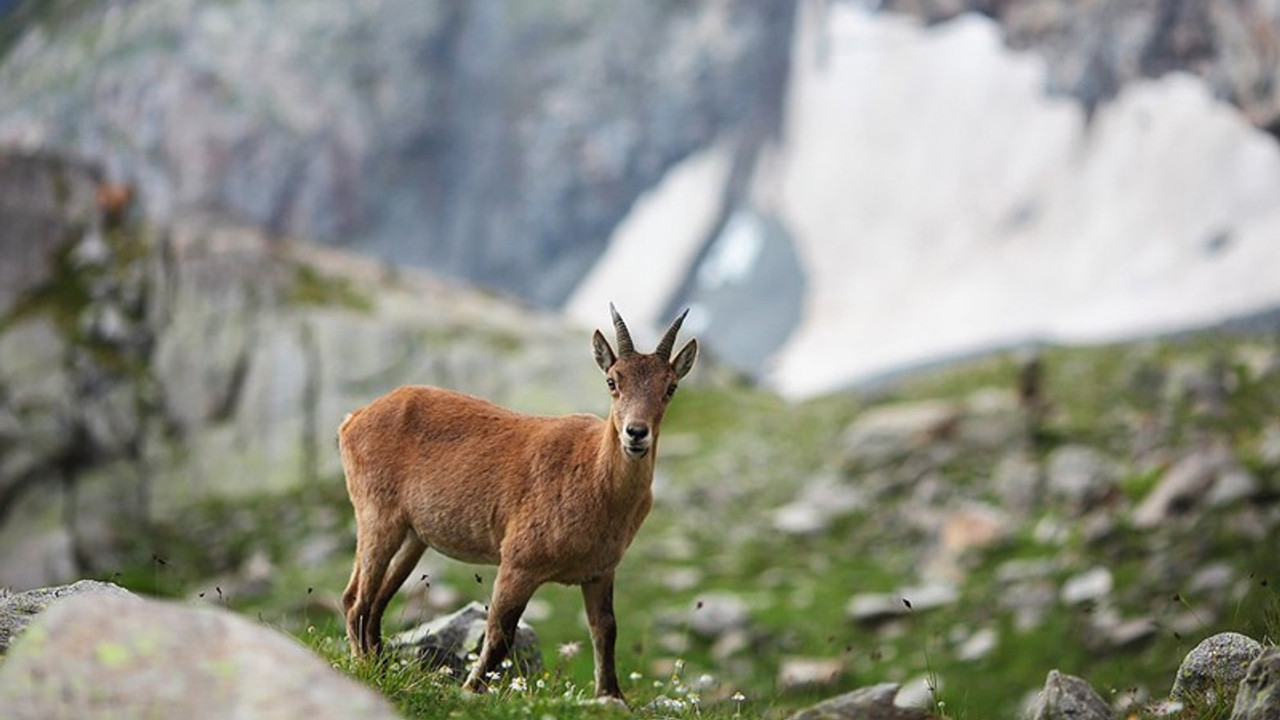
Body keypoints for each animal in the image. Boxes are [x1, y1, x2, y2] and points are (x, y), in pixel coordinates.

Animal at [340, 304, 696, 696]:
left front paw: (611, 696)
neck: (595, 480)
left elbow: (605, 631)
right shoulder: (518, 562)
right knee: (355, 600)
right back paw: (365, 668)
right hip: (377, 516)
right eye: (612, 382)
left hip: (413, 536)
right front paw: (471, 691)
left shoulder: (600, 572)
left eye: (671, 387)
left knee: (376, 602)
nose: (636, 433)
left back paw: (379, 665)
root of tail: (355, 418)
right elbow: (499, 634)